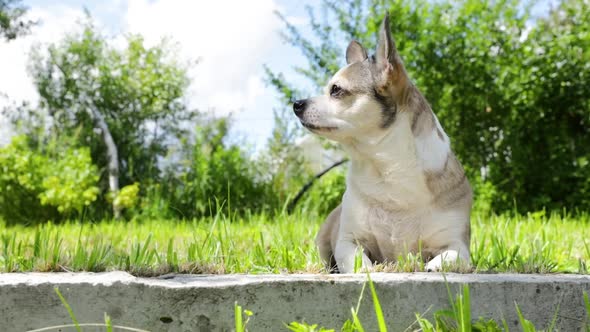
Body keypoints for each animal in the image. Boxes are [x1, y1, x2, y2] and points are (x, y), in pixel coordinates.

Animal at [294, 14, 474, 274]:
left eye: (336, 90)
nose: (296, 103)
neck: (386, 168)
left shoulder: (458, 245)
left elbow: (451, 257)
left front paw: (432, 266)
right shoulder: (349, 241)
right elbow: (358, 260)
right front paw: (367, 270)